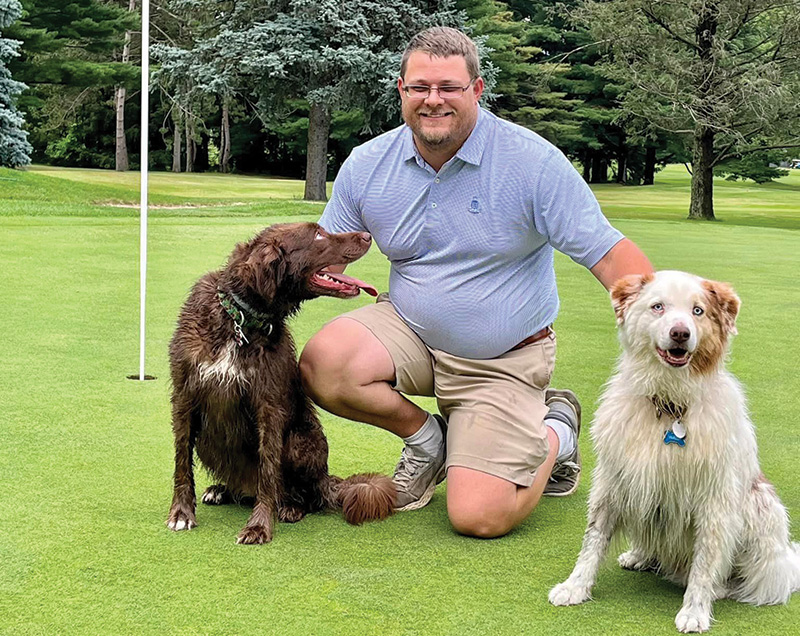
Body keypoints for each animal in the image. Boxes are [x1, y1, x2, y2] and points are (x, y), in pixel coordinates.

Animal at [166, 222, 396, 540]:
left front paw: (259, 525)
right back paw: (221, 490)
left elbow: (268, 469)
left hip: (301, 440)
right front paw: (181, 513)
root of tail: (326, 480)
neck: (239, 318)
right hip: (208, 438)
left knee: (306, 496)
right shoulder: (184, 397)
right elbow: (181, 462)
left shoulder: (269, 405)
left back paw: (289, 506)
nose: (367, 235)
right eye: (318, 234)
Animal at [552, 270, 800, 632]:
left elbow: (705, 562)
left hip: (762, 507)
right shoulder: (613, 481)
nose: (680, 332)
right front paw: (575, 587)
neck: (669, 403)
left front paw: (695, 611)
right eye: (658, 306)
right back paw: (640, 556)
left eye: (698, 311)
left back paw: (721, 587)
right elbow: (593, 540)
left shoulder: (714, 500)